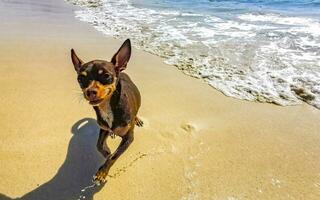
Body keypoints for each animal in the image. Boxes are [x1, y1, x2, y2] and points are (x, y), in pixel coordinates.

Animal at [72, 39, 144, 184]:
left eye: (106, 76)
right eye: (80, 79)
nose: (90, 91)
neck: (108, 108)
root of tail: (122, 71)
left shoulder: (129, 138)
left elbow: (114, 156)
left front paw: (102, 173)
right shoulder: (103, 128)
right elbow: (99, 145)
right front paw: (106, 151)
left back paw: (137, 119)